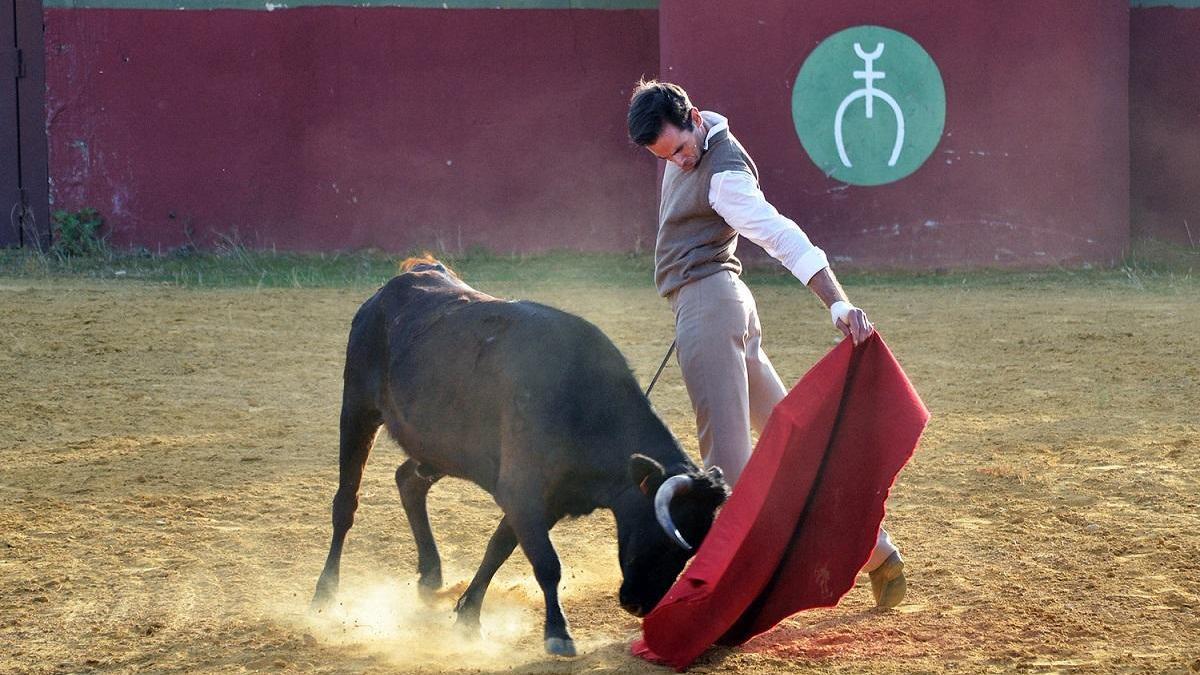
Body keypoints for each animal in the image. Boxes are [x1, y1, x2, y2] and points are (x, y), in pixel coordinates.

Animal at [309, 254, 724, 653]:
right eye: (664, 535)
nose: (638, 604)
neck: (582, 402)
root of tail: (404, 279)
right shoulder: (522, 491)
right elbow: (546, 562)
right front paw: (558, 633)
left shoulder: (543, 500)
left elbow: (500, 547)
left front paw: (468, 615)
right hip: (358, 410)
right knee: (346, 503)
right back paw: (325, 593)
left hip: (445, 448)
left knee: (409, 480)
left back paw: (430, 575)